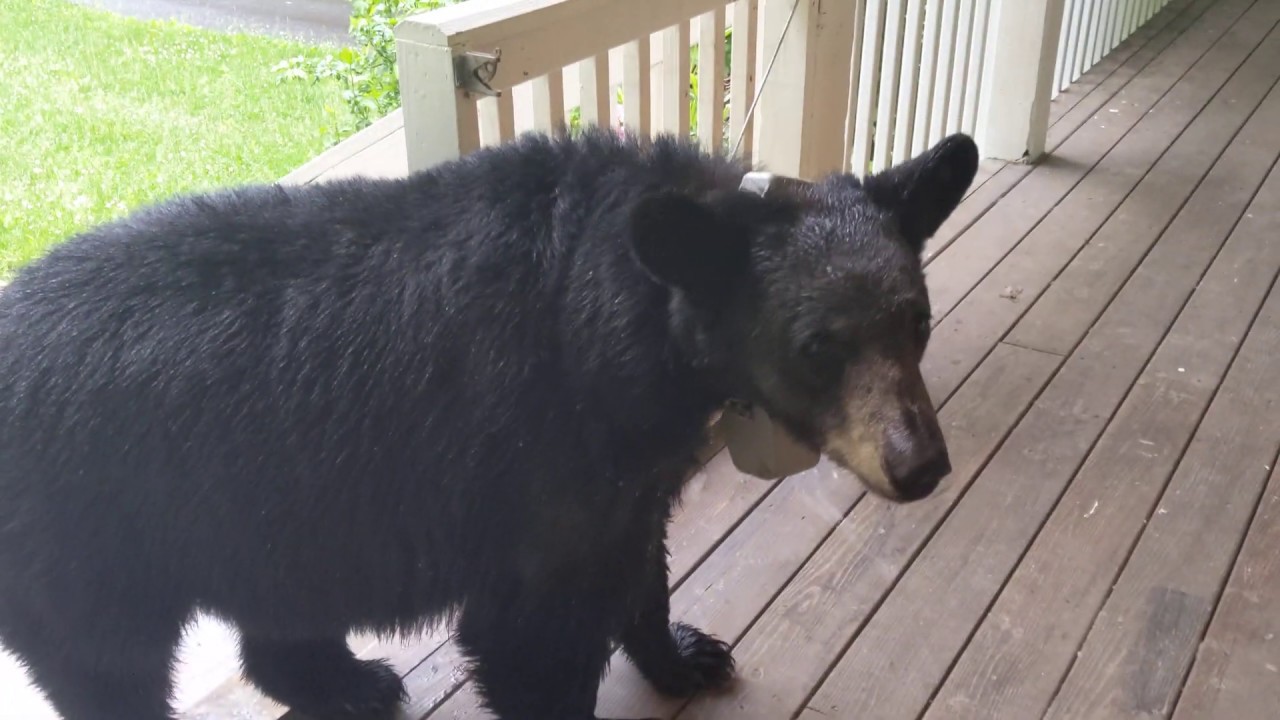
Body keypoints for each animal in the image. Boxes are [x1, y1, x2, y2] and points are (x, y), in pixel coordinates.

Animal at [0, 126, 976, 720]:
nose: (921, 464)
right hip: (88, 535)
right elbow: (527, 639)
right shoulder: (537, 453)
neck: (626, 316)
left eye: (917, 321)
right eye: (819, 347)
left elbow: (639, 563)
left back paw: (345, 681)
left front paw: (684, 653)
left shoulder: (626, 468)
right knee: (105, 666)